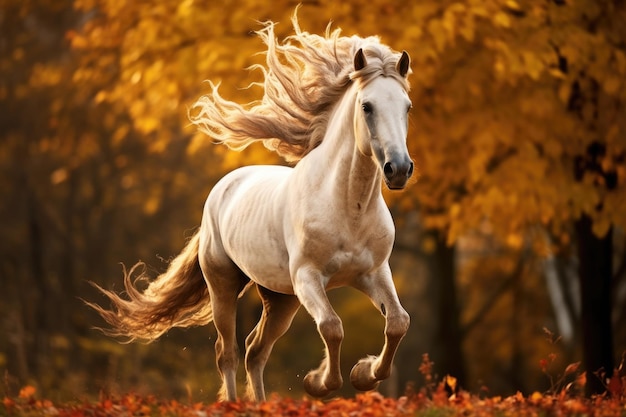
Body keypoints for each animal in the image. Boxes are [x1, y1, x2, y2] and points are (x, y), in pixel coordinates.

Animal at [86, 14, 410, 402]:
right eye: (367, 107)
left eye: (407, 107)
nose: (399, 169)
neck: (348, 207)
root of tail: (223, 187)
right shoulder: (308, 277)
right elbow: (332, 327)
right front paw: (318, 383)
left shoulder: (373, 273)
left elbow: (397, 322)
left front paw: (363, 374)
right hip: (225, 285)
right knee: (227, 350)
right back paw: (235, 402)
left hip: (281, 298)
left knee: (256, 349)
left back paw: (262, 403)